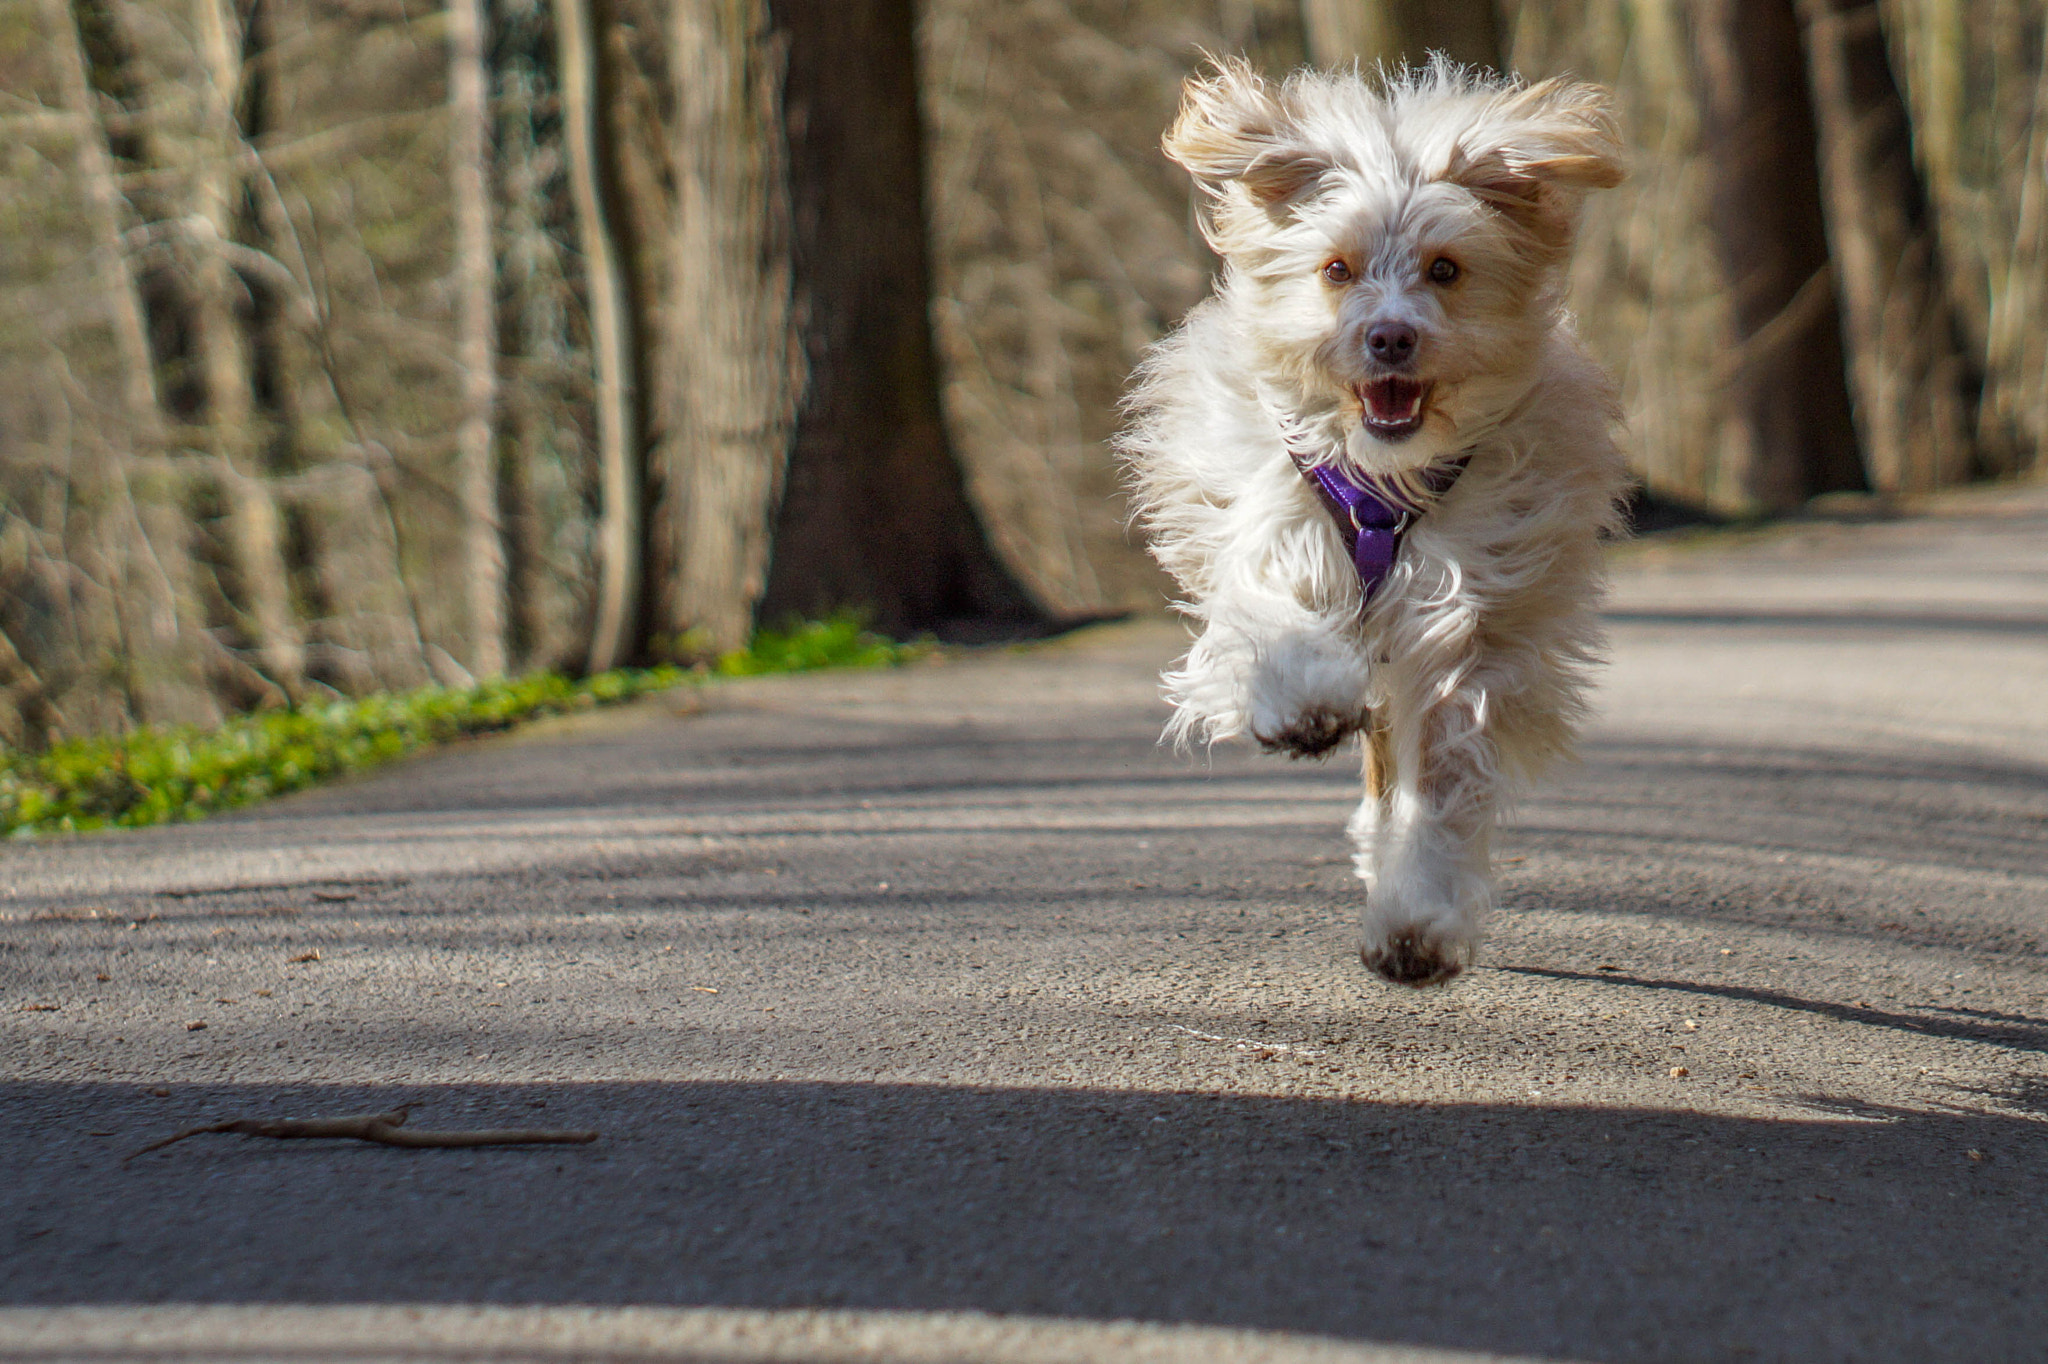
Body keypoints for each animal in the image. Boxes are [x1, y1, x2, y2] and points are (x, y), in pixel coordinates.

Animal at [1122, 58, 1630, 983]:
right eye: (1336, 269)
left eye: (1446, 269)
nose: (1391, 336)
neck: (1385, 485)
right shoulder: (1278, 522)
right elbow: (1275, 617)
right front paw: (1305, 707)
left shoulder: (1473, 619)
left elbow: (1443, 781)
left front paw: (1417, 919)